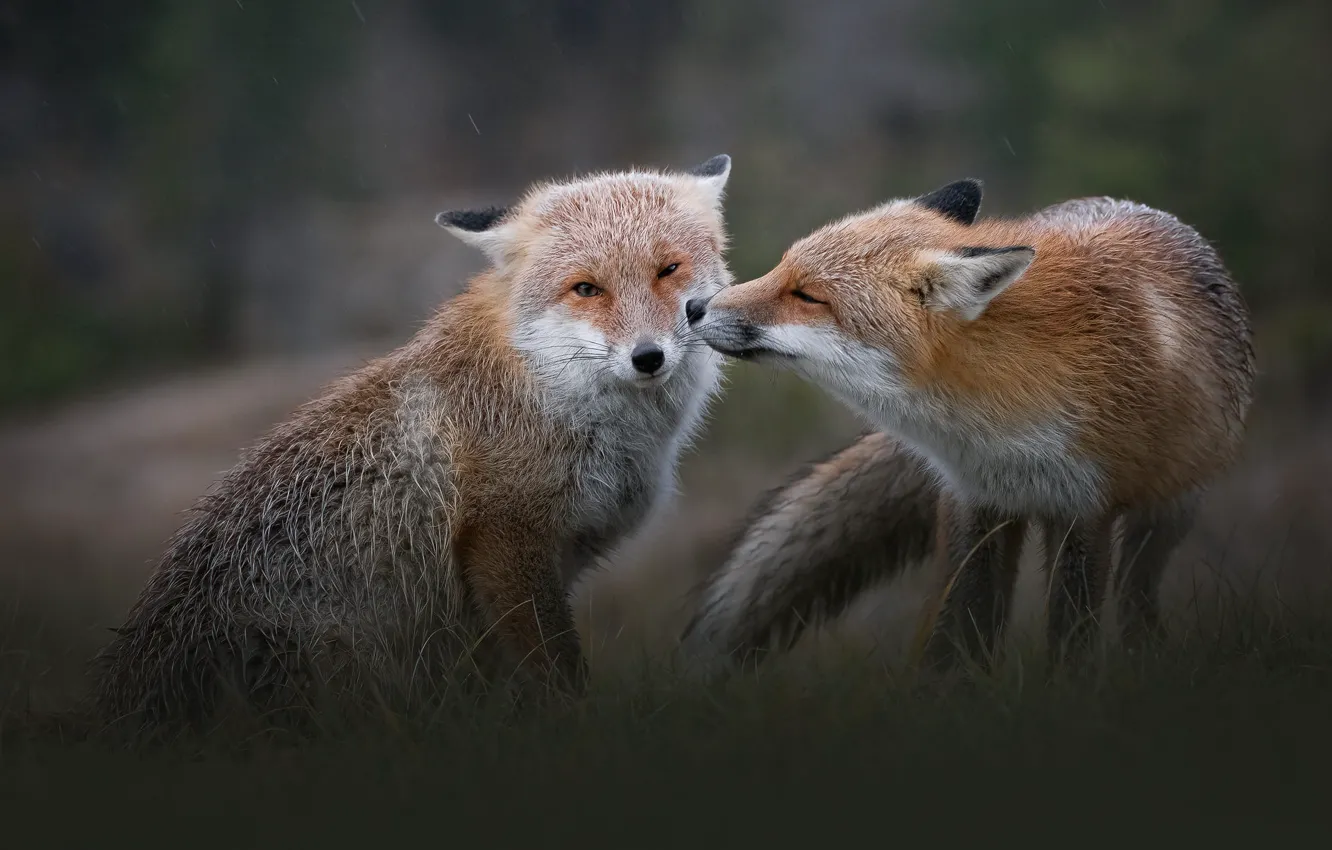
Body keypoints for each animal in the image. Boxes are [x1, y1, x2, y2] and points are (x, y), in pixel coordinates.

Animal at [90, 154, 735, 735]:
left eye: (667, 269)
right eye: (586, 288)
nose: (647, 356)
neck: (546, 395)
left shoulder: (539, 570)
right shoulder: (507, 541)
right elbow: (557, 672)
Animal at [683, 178, 1254, 671]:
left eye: (807, 296)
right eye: (781, 268)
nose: (692, 306)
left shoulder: (1086, 511)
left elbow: (1071, 634)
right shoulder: (971, 502)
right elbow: (957, 629)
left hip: (1166, 512)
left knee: (1137, 593)